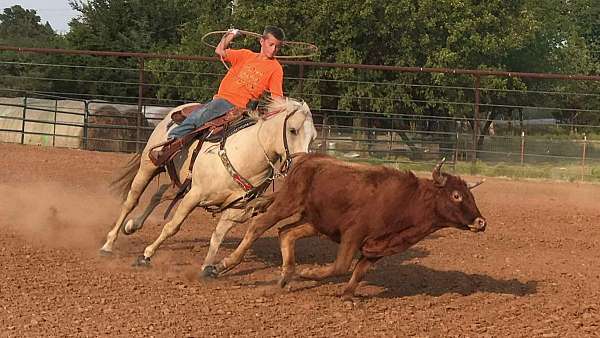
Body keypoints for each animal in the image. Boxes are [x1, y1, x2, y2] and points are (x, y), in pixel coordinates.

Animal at [99, 96, 318, 276]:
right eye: (293, 130)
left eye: (313, 137)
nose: (301, 164)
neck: (246, 155)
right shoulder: (194, 195)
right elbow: (172, 227)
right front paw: (146, 256)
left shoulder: (236, 210)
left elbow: (217, 237)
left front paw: (208, 267)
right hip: (149, 166)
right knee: (131, 201)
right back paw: (108, 244)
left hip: (181, 183)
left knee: (159, 194)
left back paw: (132, 226)